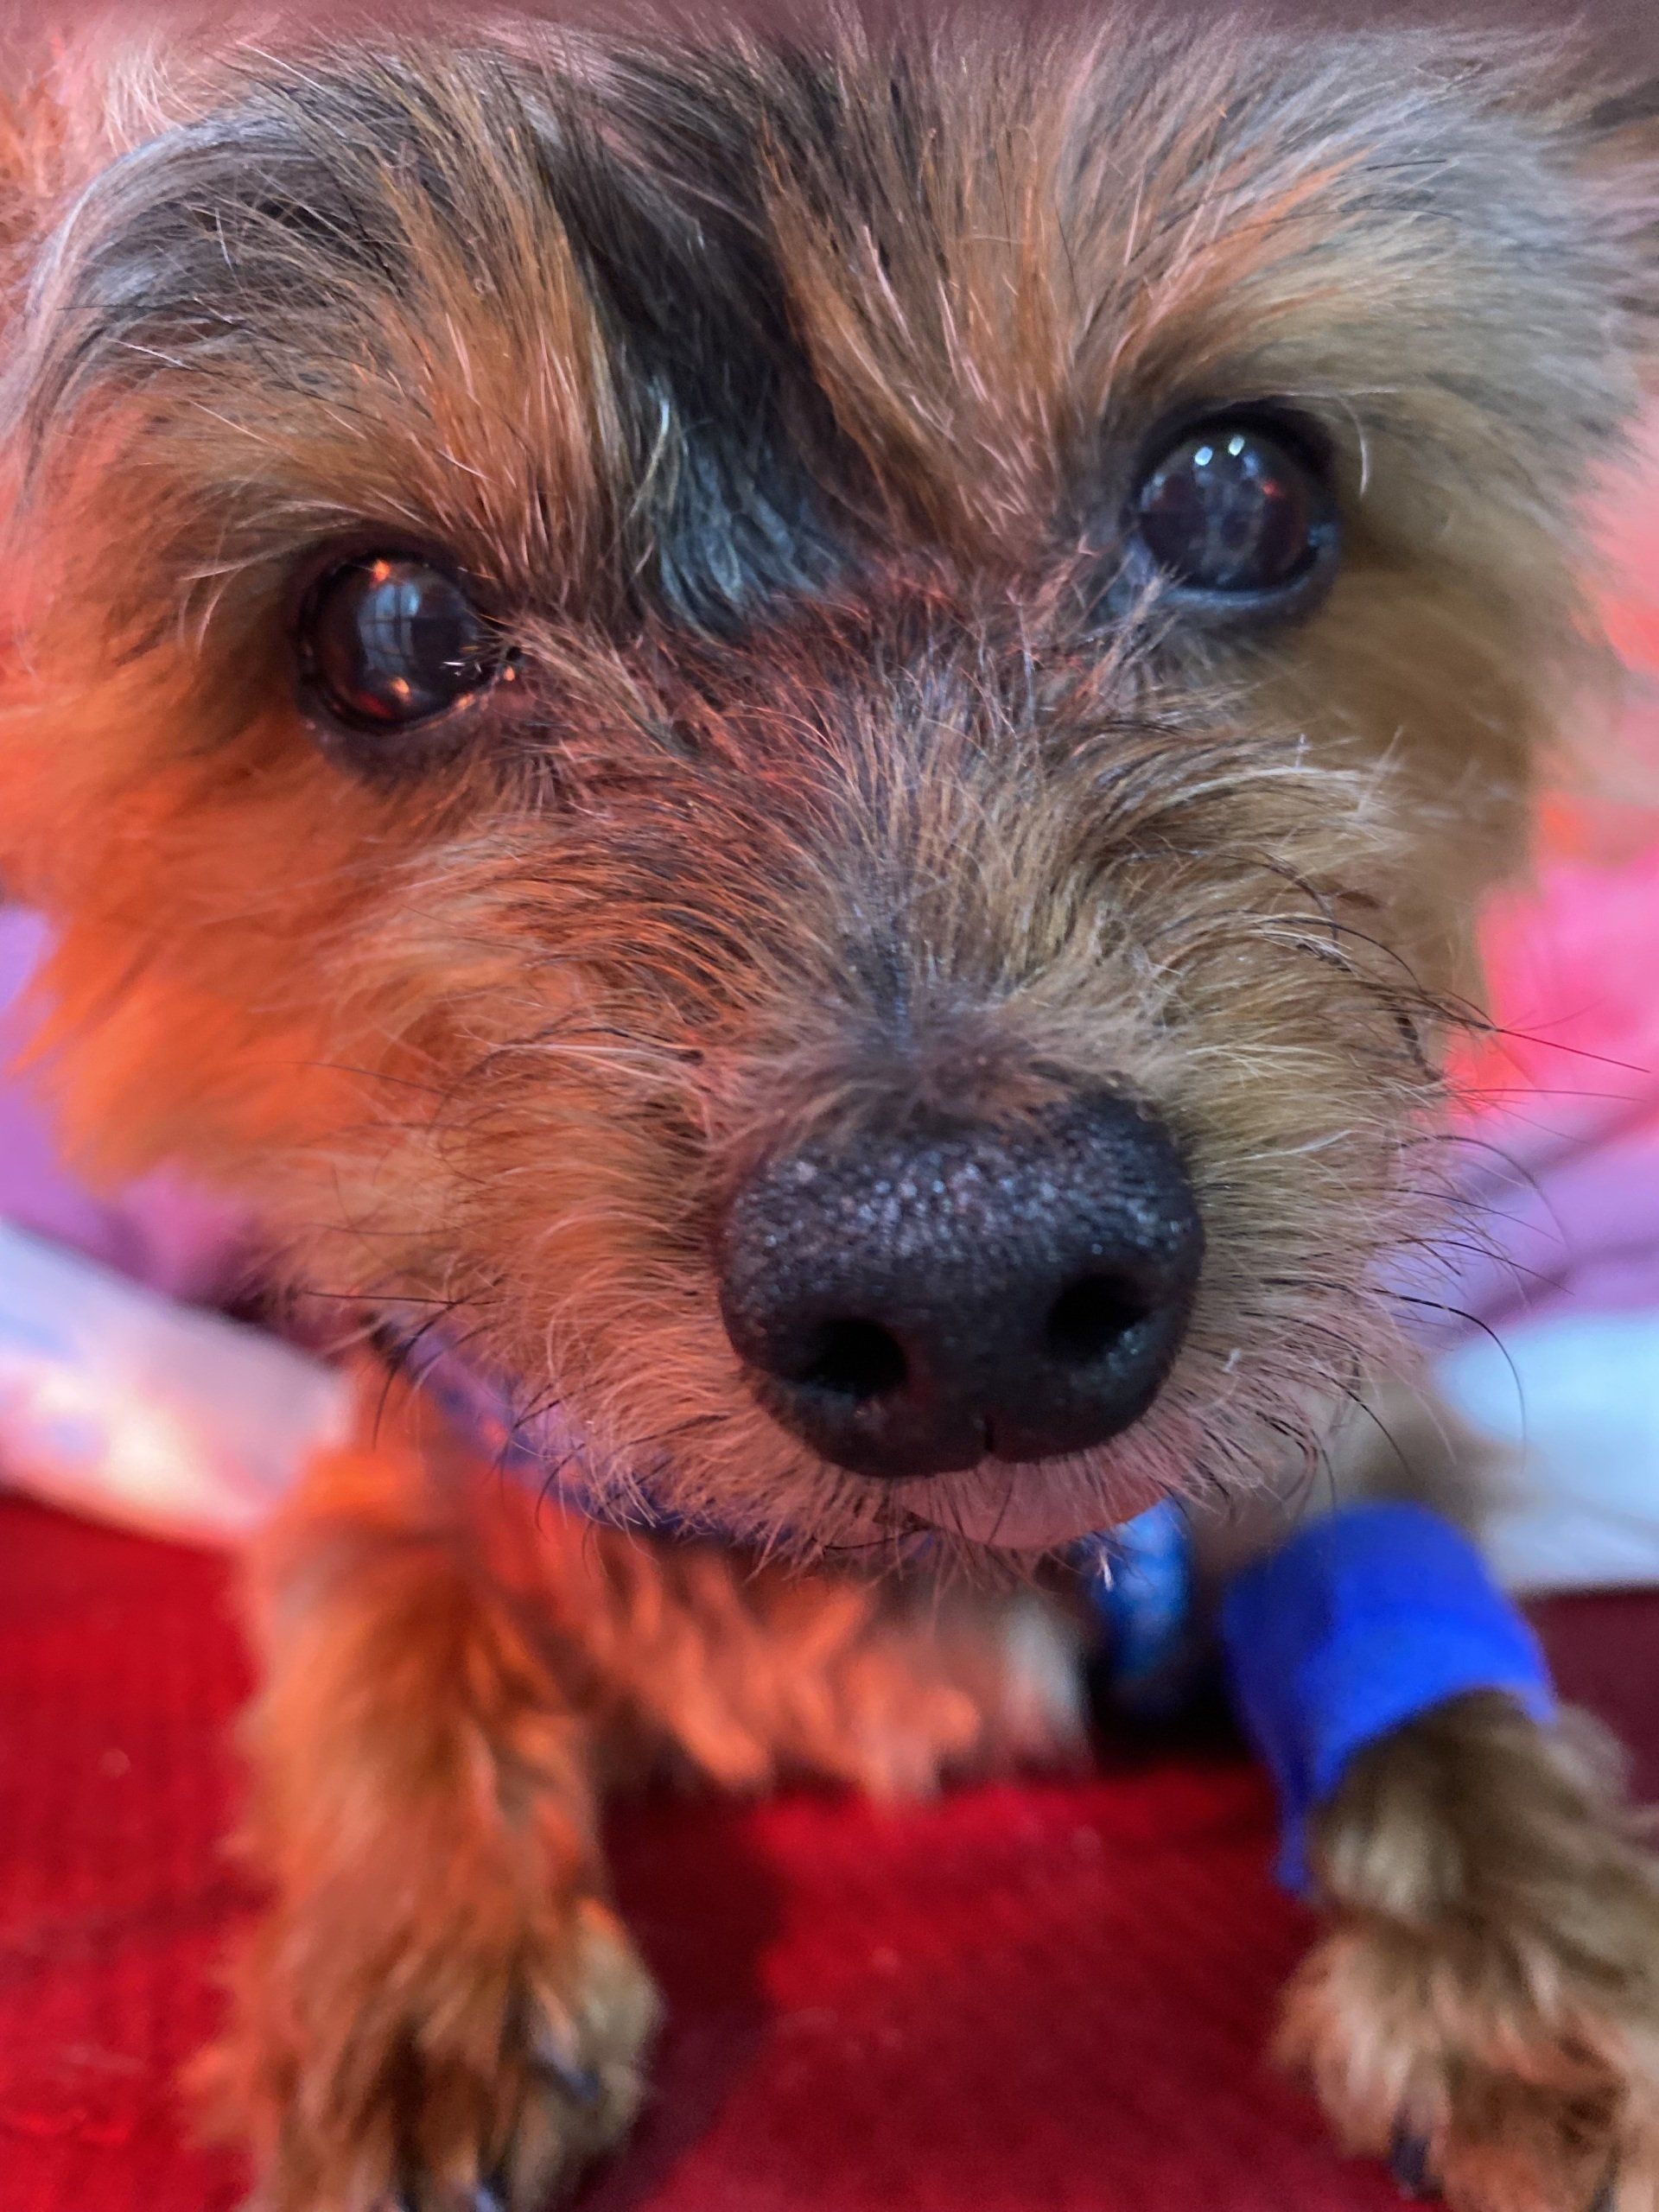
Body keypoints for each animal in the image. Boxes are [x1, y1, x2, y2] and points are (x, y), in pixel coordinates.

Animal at [0, 7, 1655, 2208]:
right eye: (388, 631)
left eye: (1244, 495)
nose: (970, 1285)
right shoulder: (413, 1449)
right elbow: (385, 1620)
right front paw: (412, 1975)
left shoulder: (1342, 1432)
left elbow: (1424, 1653)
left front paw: (1537, 1944)